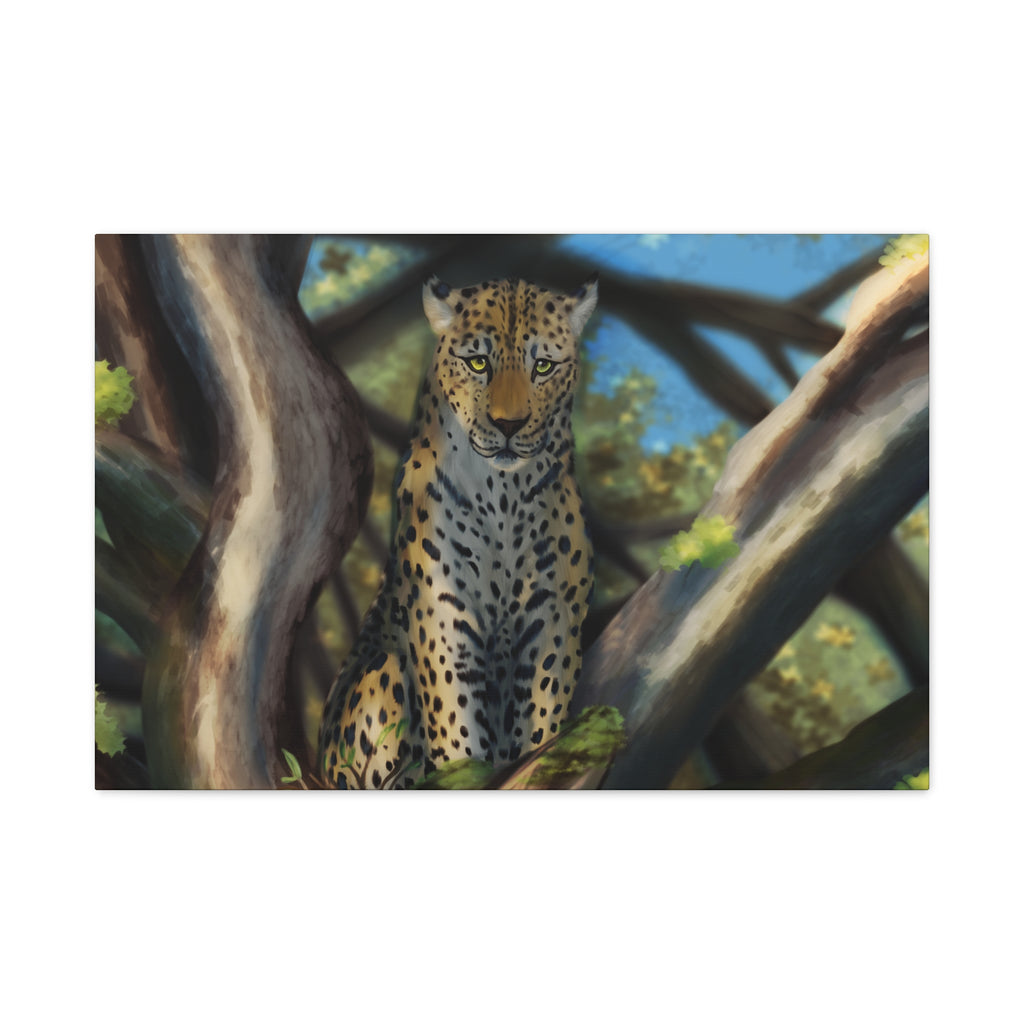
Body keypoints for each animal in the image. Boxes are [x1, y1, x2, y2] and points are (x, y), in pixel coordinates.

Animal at [317, 272, 598, 789]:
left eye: (543, 366)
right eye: (478, 362)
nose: (509, 425)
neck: (504, 493)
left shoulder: (554, 616)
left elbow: (543, 715)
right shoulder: (443, 615)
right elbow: (455, 722)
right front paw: (465, 770)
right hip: (381, 675)